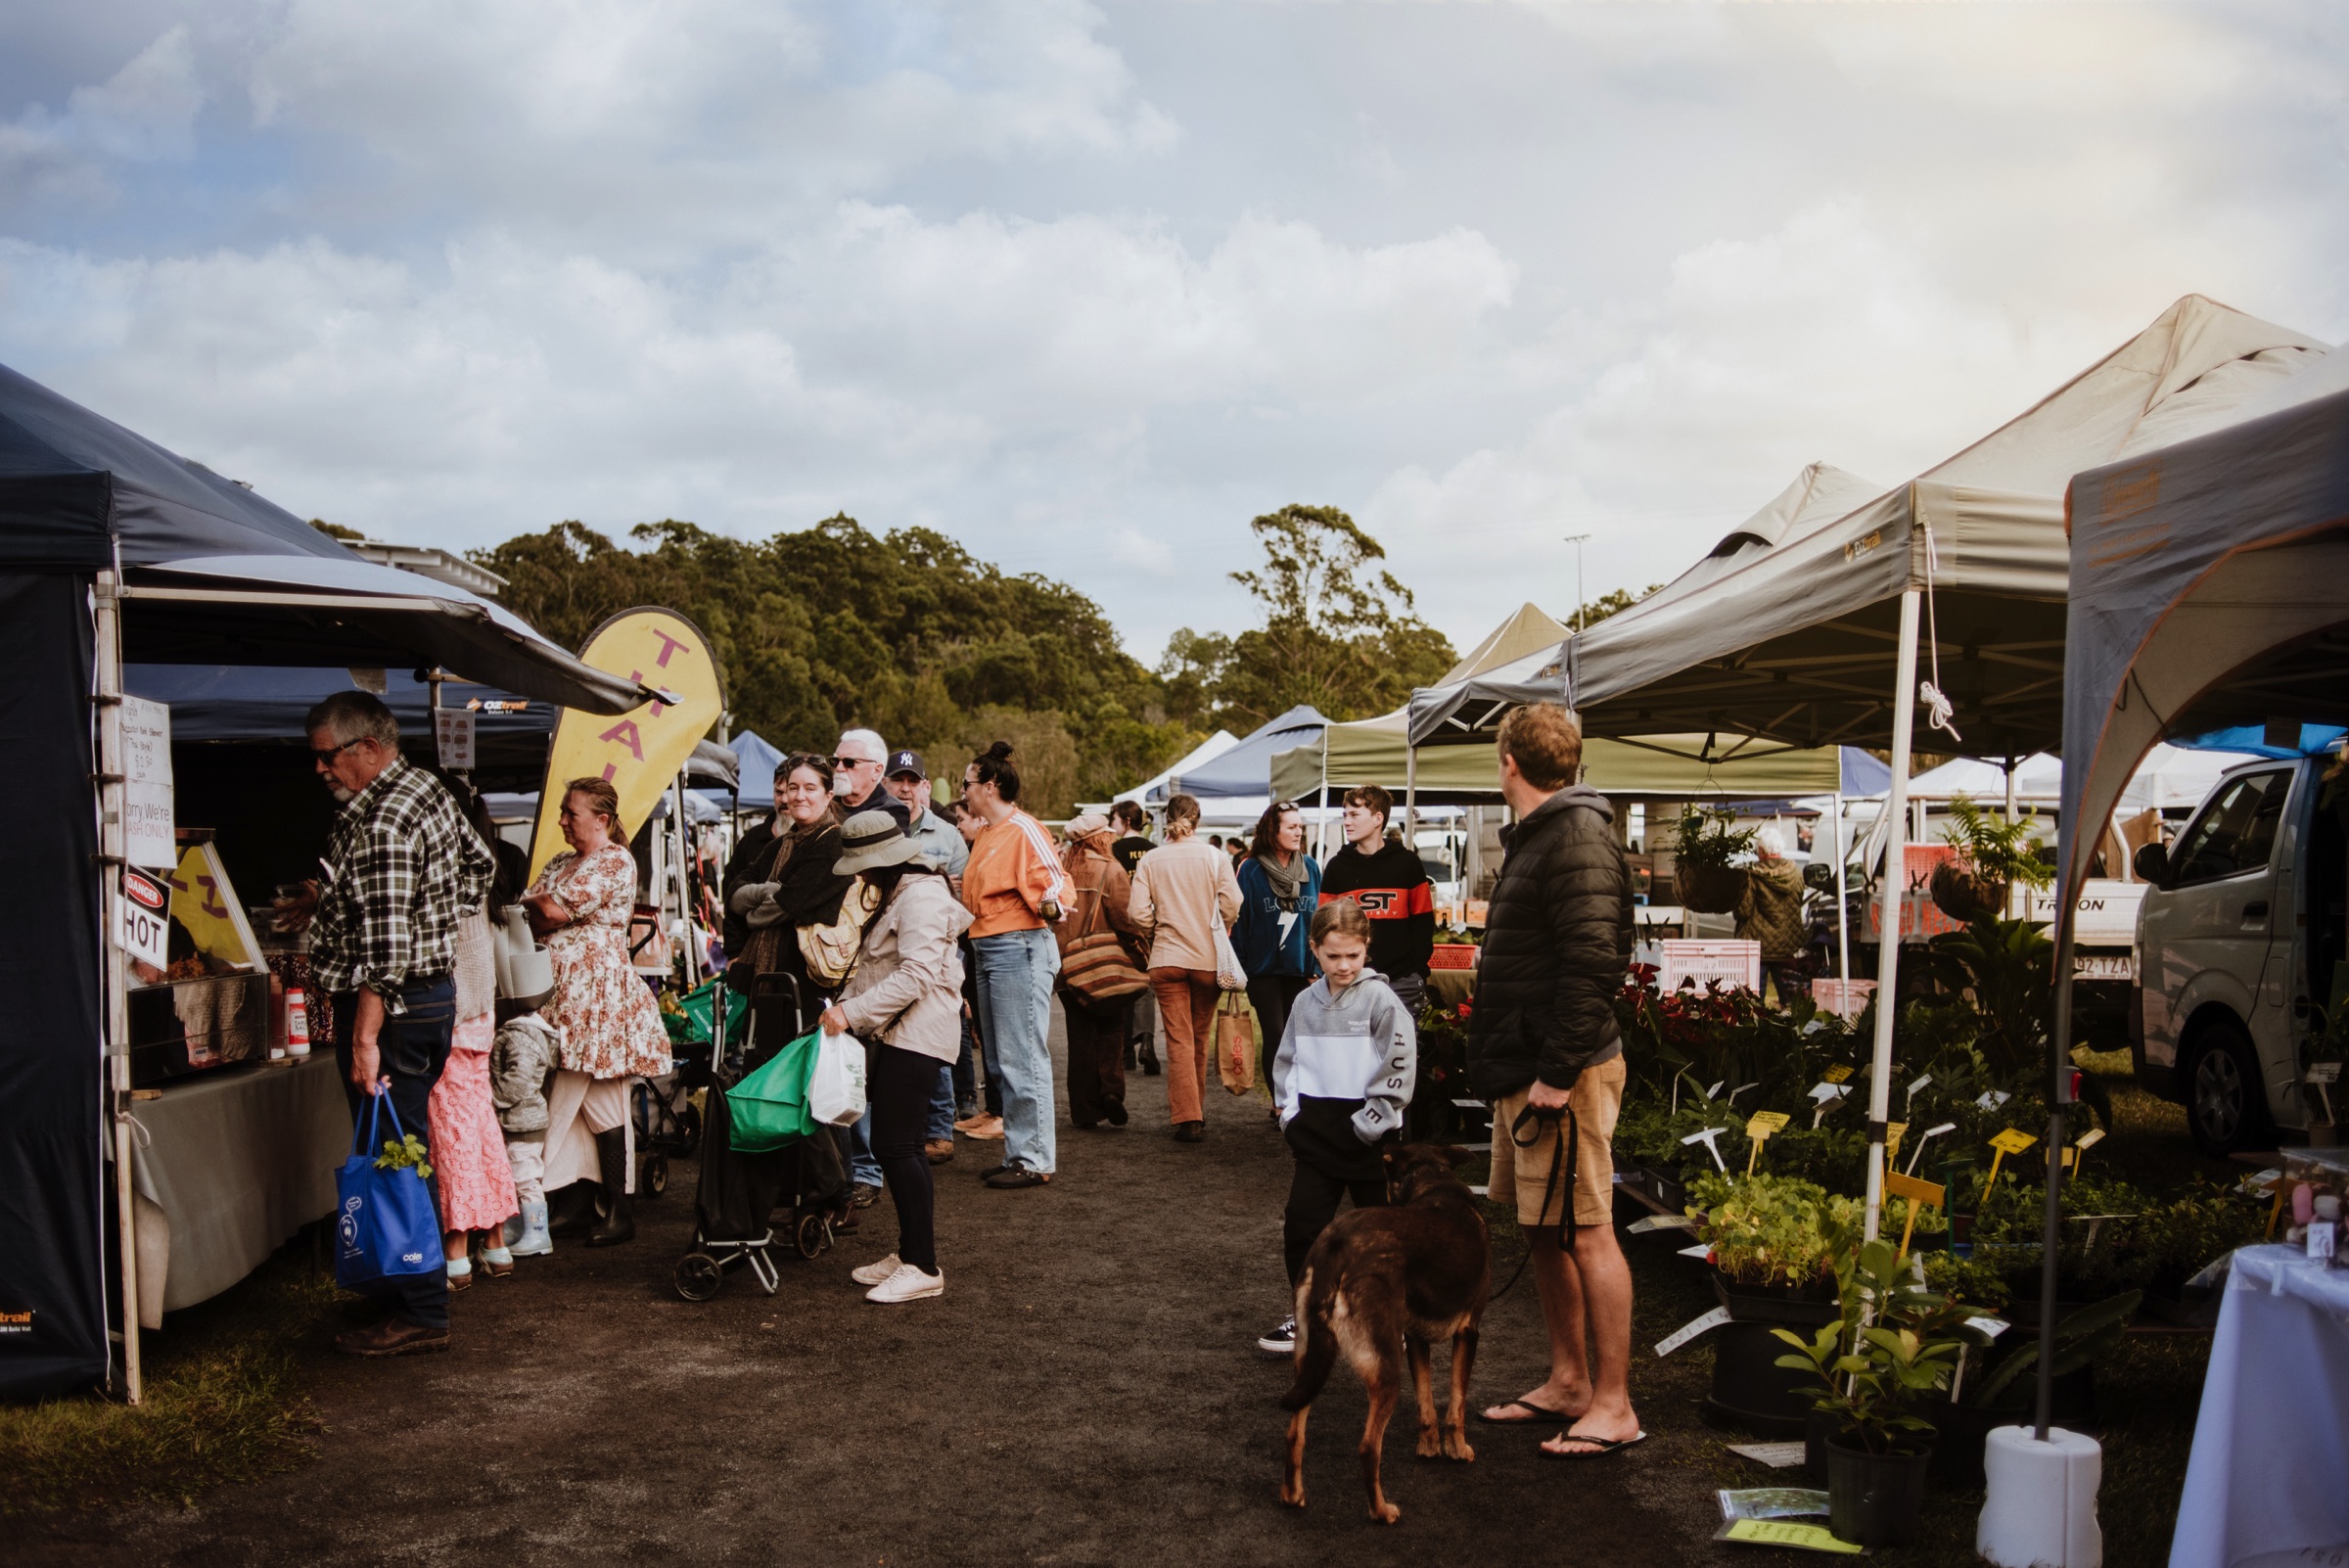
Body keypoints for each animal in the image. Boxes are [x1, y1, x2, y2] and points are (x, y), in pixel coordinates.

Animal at [1287, 1145, 1484, 1521]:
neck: (1434, 1182)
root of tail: (1337, 1243)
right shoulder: (1469, 1330)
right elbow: (1456, 1404)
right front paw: (1458, 1449)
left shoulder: (1416, 1338)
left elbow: (1426, 1404)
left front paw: (1428, 1447)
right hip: (1386, 1367)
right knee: (1368, 1447)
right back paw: (1381, 1511)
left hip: (1310, 1359)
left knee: (1294, 1433)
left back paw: (1292, 1495)